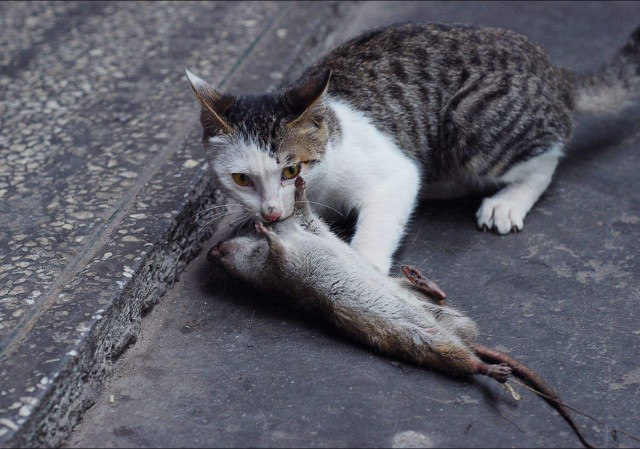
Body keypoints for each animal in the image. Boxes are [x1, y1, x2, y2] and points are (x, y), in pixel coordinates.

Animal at [186, 22, 640, 274]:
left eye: (291, 170)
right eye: (241, 179)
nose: (270, 211)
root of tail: (550, 69)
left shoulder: (392, 171)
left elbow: (392, 197)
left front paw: (363, 267)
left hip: (471, 123)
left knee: (548, 153)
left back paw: (507, 200)